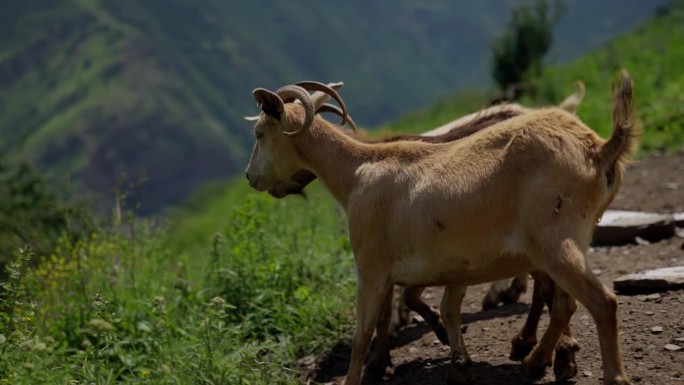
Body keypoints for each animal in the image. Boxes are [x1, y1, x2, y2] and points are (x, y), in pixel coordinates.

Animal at [244, 72, 636, 384]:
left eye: (259, 133)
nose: (250, 178)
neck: (356, 171)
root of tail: (599, 149)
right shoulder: (457, 263)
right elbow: (447, 308)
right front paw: (458, 364)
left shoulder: (371, 266)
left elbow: (363, 335)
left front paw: (369, 370)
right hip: (565, 242)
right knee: (564, 302)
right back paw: (536, 361)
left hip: (554, 240)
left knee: (600, 302)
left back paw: (595, 371)